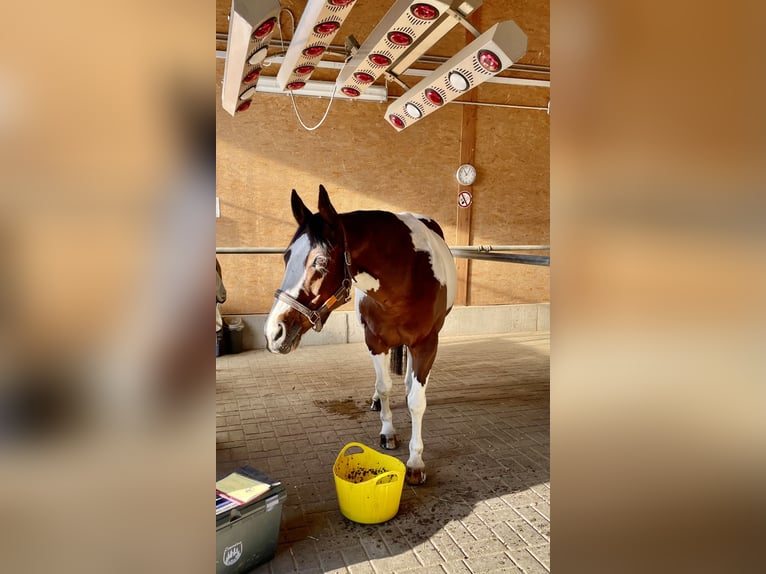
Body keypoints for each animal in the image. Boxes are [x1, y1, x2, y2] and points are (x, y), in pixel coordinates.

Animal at [264, 185, 456, 485]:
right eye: (286, 256)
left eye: (320, 261)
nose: (274, 332)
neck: (407, 274)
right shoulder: (375, 341)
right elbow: (384, 386)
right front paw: (388, 432)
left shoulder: (426, 344)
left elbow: (417, 402)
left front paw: (415, 462)